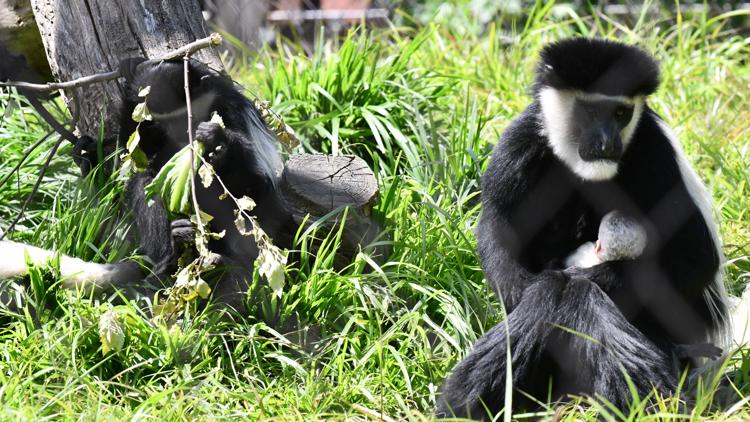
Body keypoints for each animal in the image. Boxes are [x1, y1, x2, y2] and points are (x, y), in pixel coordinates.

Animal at [435, 38, 729, 419]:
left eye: (621, 113)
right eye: (590, 111)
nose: (607, 143)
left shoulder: (654, 151)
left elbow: (694, 256)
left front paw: (586, 276)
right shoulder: (520, 140)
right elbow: (497, 225)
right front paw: (521, 288)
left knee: (584, 297)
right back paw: (467, 403)